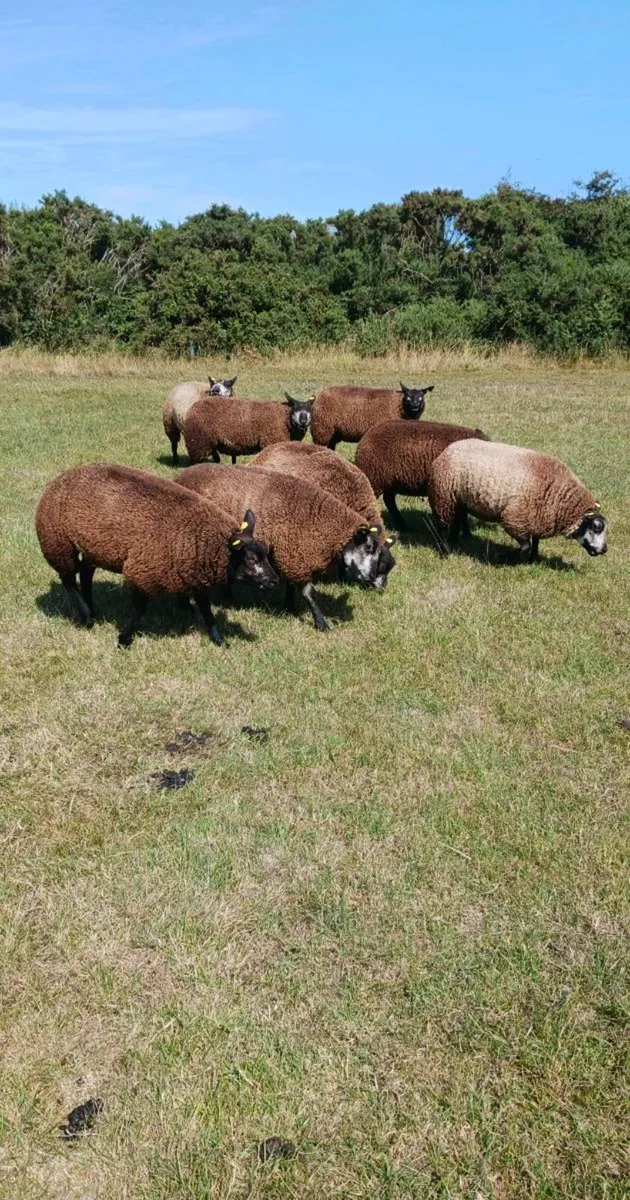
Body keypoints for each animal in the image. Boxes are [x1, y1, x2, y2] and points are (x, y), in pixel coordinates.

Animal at [35, 463, 278, 648]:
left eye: (266, 553)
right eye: (252, 559)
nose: (275, 581)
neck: (204, 542)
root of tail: (62, 477)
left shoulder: (193, 574)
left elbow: (207, 610)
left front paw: (219, 640)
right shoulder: (142, 571)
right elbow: (139, 609)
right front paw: (124, 639)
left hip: (93, 546)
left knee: (86, 572)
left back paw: (92, 610)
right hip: (57, 542)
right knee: (68, 579)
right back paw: (86, 617)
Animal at [176, 463, 395, 630]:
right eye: (368, 547)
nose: (371, 578)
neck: (321, 521)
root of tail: (182, 475)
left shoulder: (290, 553)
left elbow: (291, 585)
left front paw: (290, 606)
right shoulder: (295, 557)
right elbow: (309, 593)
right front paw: (321, 623)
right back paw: (187, 606)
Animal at [182, 393, 314, 466]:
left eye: (310, 411)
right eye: (295, 410)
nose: (303, 421)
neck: (284, 418)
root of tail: (192, 408)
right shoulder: (271, 441)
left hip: (210, 444)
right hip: (198, 444)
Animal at [428, 439, 608, 562]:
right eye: (596, 527)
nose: (605, 550)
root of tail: (448, 449)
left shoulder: (537, 517)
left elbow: (535, 540)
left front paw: (534, 558)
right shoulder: (514, 519)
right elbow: (525, 546)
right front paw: (501, 557)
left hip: (458, 499)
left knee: (456, 521)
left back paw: (455, 543)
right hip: (444, 495)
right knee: (442, 526)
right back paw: (446, 551)